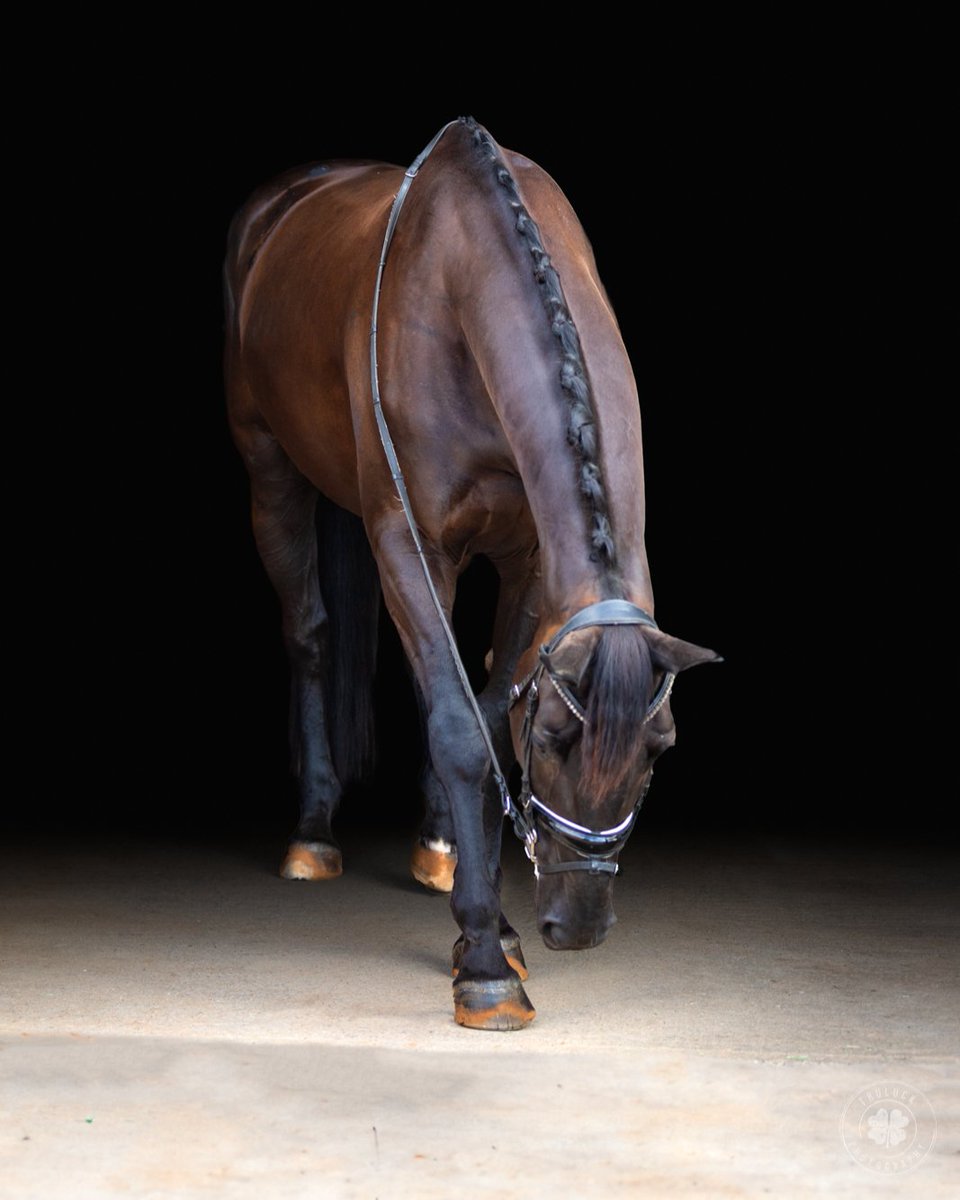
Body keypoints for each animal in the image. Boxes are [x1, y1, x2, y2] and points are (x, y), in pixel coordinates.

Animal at [224, 117, 719, 1031]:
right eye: (552, 738)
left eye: (662, 748)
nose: (577, 926)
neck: (461, 284)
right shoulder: (408, 541)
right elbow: (458, 725)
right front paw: (487, 964)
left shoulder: (527, 561)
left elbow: (483, 715)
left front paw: (493, 926)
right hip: (268, 467)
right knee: (309, 636)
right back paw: (313, 834)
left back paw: (438, 849)